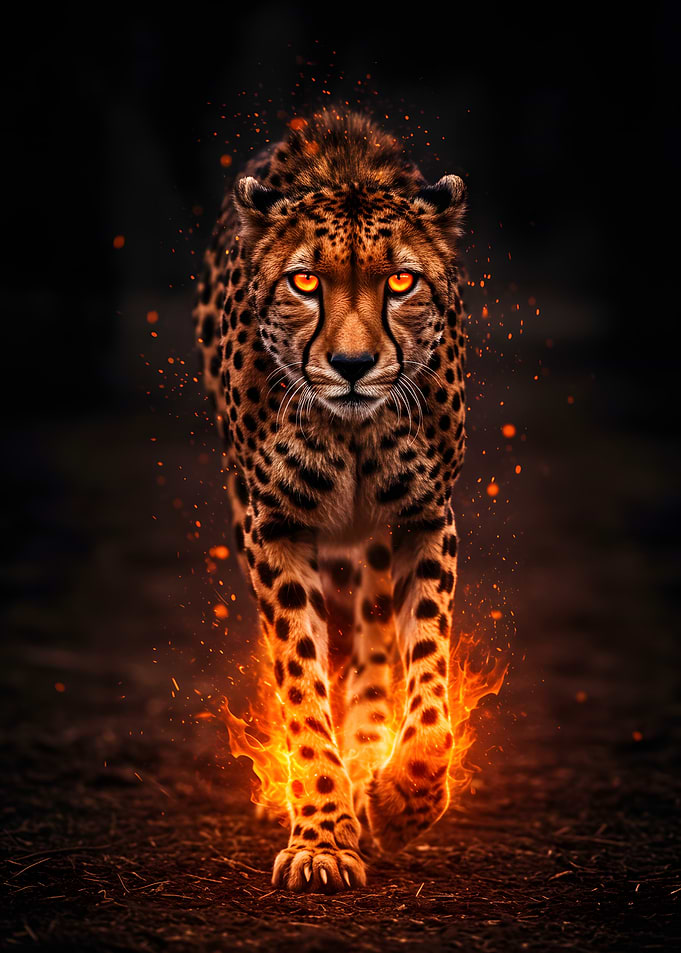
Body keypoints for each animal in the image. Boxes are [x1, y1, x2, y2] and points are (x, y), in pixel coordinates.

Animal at [193, 109, 467, 893]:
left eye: (401, 281)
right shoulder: (275, 527)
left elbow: (427, 674)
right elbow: (300, 680)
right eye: (305, 281)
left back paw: (370, 753)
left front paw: (401, 798)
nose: (351, 365)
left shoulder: (423, 517)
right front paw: (320, 831)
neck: (351, 428)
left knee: (374, 637)